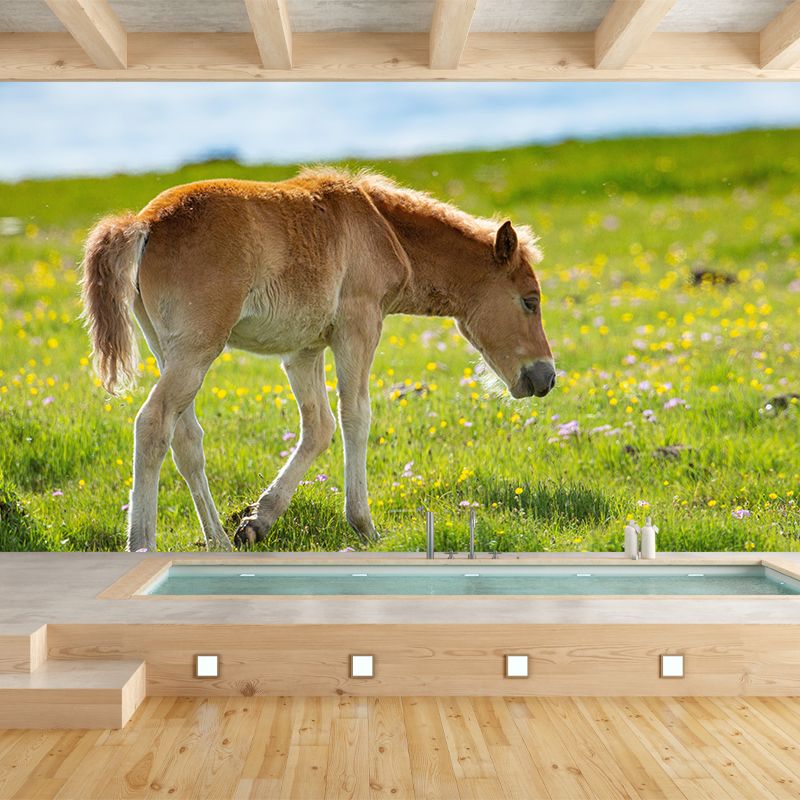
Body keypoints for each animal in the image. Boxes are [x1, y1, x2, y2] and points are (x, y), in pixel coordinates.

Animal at [81, 169, 556, 552]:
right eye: (529, 301)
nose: (546, 377)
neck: (384, 230)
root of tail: (143, 224)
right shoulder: (358, 326)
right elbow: (355, 417)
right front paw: (364, 526)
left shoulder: (302, 351)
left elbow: (319, 427)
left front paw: (257, 521)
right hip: (197, 351)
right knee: (153, 422)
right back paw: (141, 544)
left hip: (169, 350)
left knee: (186, 439)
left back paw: (217, 540)